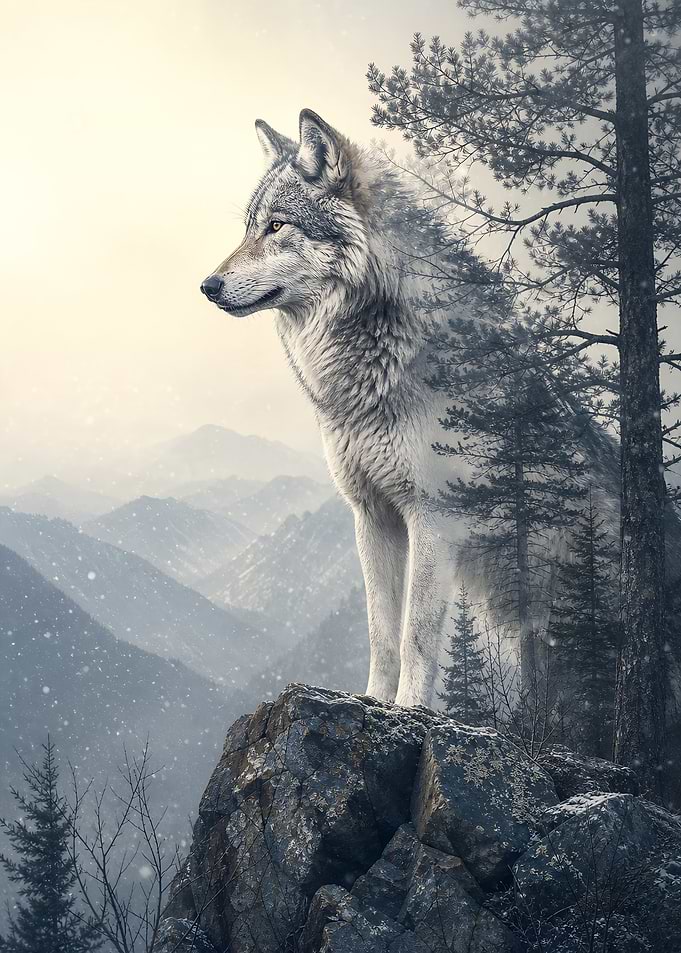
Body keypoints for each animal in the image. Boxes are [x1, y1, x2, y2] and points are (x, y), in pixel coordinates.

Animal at [199, 110, 581, 707]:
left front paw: (408, 711)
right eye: (249, 227)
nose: (207, 285)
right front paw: (373, 701)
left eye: (277, 226)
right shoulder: (371, 514)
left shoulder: (434, 518)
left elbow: (416, 635)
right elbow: (381, 632)